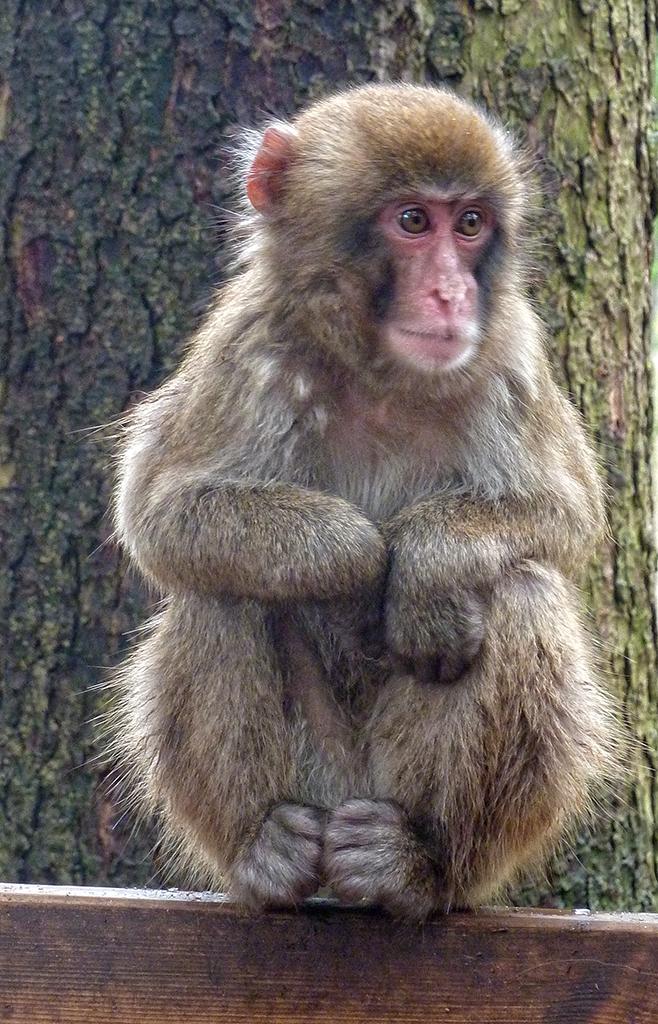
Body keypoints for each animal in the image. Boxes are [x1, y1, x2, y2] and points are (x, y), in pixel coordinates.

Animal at [110, 83, 617, 921]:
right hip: (315, 778)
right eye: (412, 221)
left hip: (408, 796)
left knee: (519, 591)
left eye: (469, 224)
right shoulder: (251, 348)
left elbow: (568, 520)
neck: (382, 374)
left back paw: (414, 862)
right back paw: (266, 849)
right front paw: (355, 563)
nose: (451, 293)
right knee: (219, 589)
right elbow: (160, 513)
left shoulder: (510, 353)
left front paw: (426, 566)